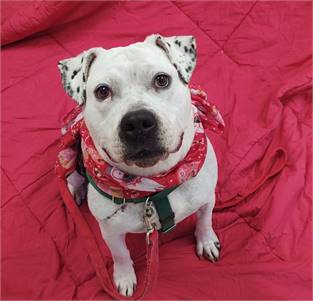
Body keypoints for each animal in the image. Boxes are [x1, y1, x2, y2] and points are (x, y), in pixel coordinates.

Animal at [58, 34, 219, 296]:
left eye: (162, 80)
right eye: (102, 91)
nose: (137, 121)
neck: (155, 185)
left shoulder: (206, 198)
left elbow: (205, 220)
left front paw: (206, 240)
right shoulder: (110, 231)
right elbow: (121, 254)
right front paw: (124, 278)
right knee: (72, 175)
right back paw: (75, 188)